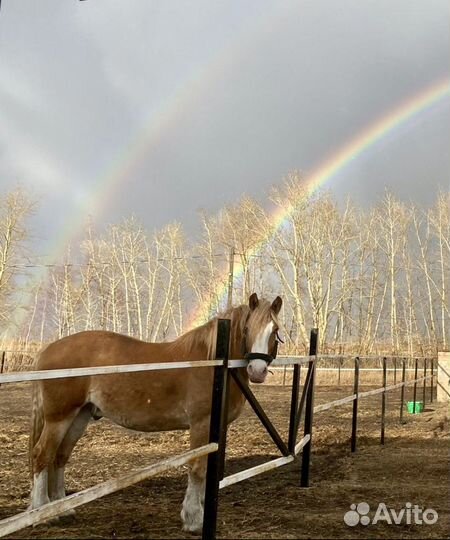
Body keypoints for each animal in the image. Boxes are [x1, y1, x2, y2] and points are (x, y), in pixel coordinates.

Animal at [29, 292, 282, 532]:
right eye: (247, 329)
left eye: (275, 331)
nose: (257, 370)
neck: (216, 363)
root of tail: (47, 350)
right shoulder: (201, 423)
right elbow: (197, 468)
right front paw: (193, 519)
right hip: (59, 418)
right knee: (43, 455)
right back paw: (42, 515)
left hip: (79, 416)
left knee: (60, 457)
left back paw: (62, 510)